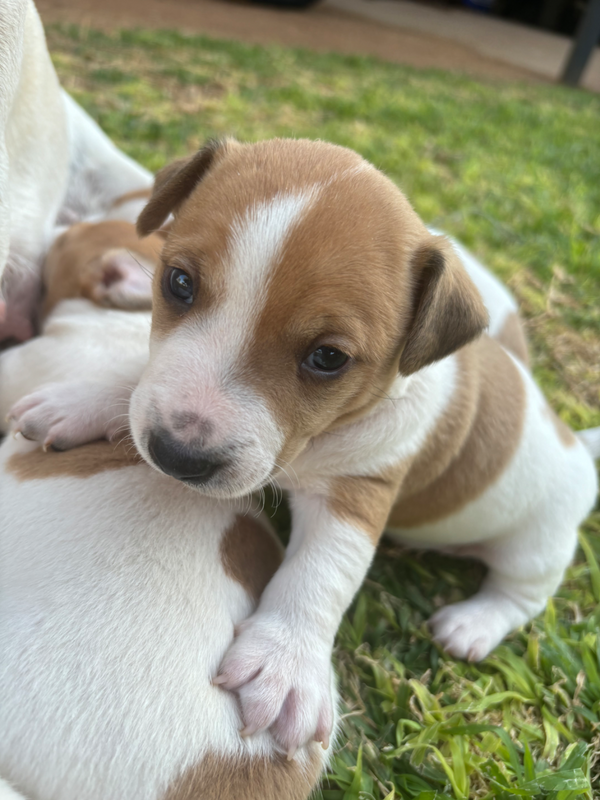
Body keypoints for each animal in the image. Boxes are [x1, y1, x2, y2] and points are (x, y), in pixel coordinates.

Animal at [10, 138, 600, 756]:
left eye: (328, 358)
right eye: (178, 282)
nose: (176, 456)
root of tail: (577, 447)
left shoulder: (359, 493)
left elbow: (322, 570)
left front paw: (285, 662)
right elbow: (136, 381)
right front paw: (81, 400)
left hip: (537, 545)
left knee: (522, 594)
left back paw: (473, 623)